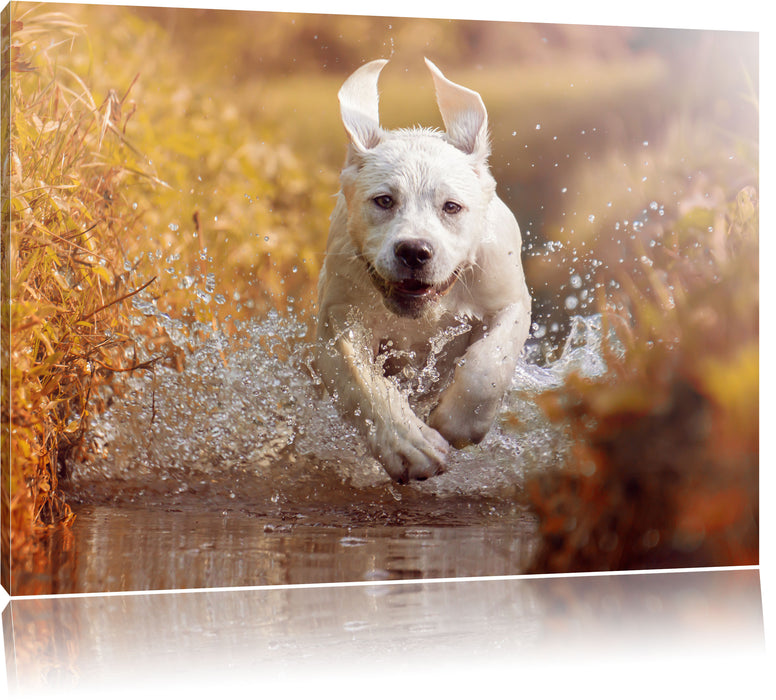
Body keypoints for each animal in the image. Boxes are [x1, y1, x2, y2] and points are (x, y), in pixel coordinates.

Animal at [316, 58, 532, 482]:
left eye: (452, 206)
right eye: (384, 200)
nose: (414, 251)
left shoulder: (509, 300)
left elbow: (488, 365)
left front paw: (456, 423)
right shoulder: (338, 321)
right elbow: (362, 380)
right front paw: (408, 445)